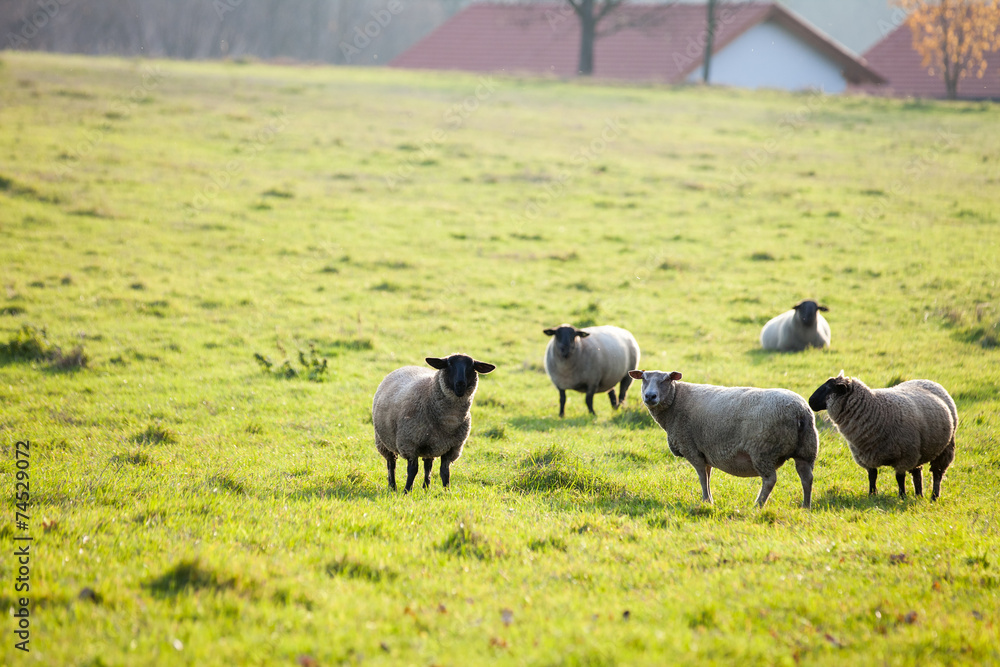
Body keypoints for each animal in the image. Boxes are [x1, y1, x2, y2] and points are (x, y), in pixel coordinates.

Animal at [372, 354, 495, 493]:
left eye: (471, 366)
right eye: (449, 364)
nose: (460, 385)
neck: (449, 421)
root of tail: (405, 367)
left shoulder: (452, 448)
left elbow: (445, 472)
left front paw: (447, 491)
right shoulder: (410, 444)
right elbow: (412, 470)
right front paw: (407, 491)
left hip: (431, 445)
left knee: (428, 465)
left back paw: (426, 488)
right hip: (383, 441)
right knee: (391, 463)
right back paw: (393, 486)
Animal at [628, 369, 818, 508]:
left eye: (666, 380)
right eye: (643, 378)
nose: (650, 396)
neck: (676, 401)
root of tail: (799, 412)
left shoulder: (691, 448)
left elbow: (702, 477)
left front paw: (706, 501)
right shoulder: (705, 451)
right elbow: (708, 475)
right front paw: (709, 499)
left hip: (763, 450)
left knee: (770, 480)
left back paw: (757, 505)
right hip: (807, 450)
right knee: (807, 478)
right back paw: (805, 507)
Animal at [808, 372, 957, 500]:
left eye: (828, 388)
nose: (810, 401)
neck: (875, 409)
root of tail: (928, 381)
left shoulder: (904, 457)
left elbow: (899, 478)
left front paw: (902, 496)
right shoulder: (867, 455)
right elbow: (872, 476)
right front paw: (872, 494)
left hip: (944, 448)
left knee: (937, 474)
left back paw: (934, 496)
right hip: (919, 451)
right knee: (917, 473)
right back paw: (919, 495)